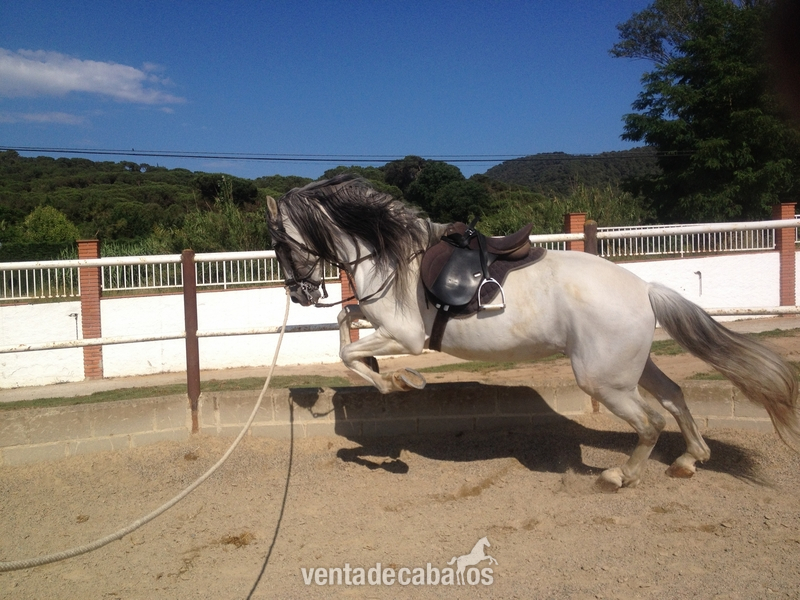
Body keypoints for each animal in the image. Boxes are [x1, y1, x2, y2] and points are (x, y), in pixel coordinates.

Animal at [266, 174, 800, 491]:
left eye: (280, 244)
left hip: (602, 380)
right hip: (630, 368)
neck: (392, 255)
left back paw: (617, 476)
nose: (301, 294)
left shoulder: (407, 337)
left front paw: (397, 382)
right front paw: (384, 374)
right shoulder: (378, 320)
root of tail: (645, 287)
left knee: (651, 422)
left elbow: (349, 354)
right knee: (674, 396)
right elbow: (344, 327)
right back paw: (690, 459)